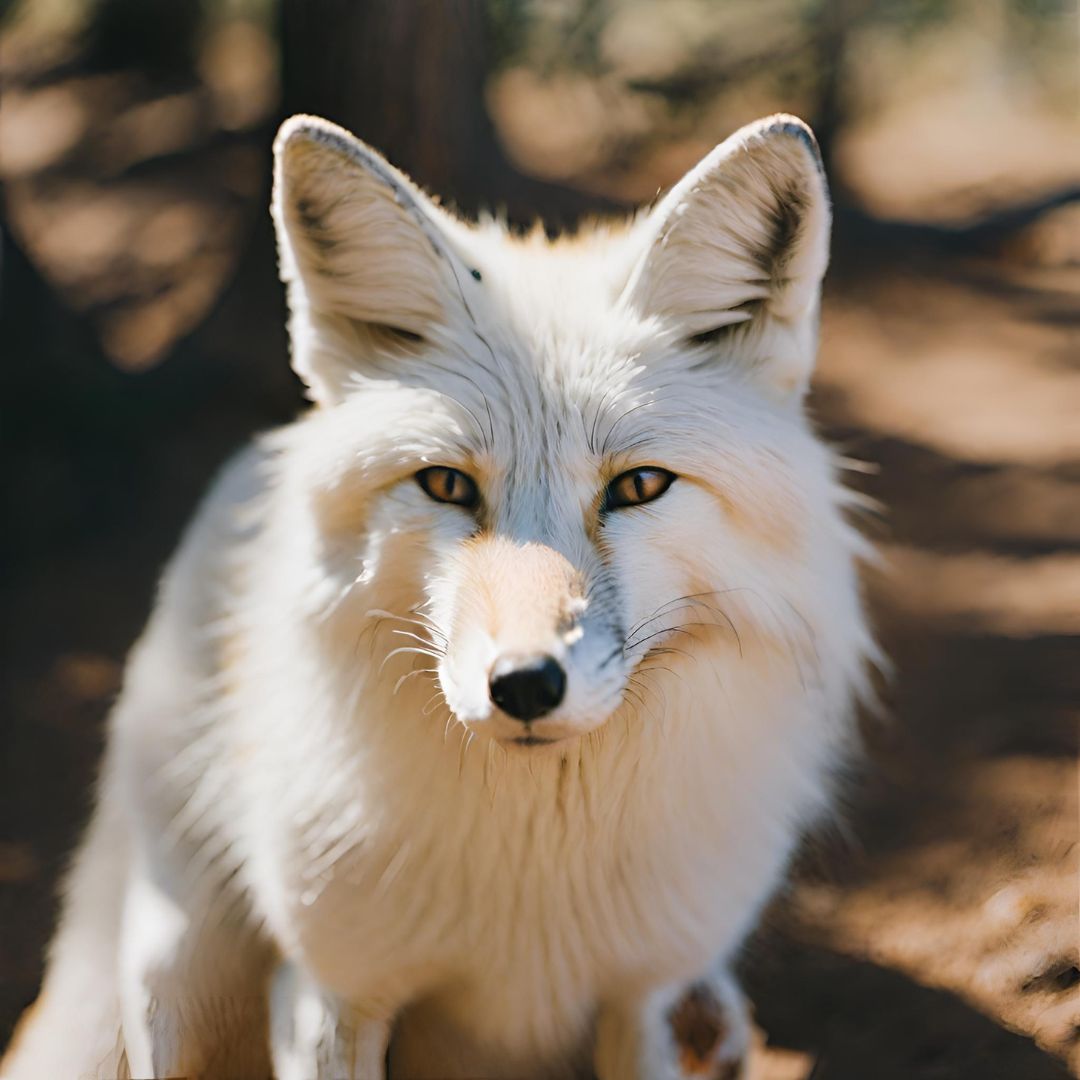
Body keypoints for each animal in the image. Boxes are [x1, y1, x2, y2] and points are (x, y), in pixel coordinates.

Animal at [4, 113, 872, 1075]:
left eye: (640, 486)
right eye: (448, 486)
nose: (524, 684)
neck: (533, 879)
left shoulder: (637, 994)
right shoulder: (330, 994)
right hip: (176, 965)